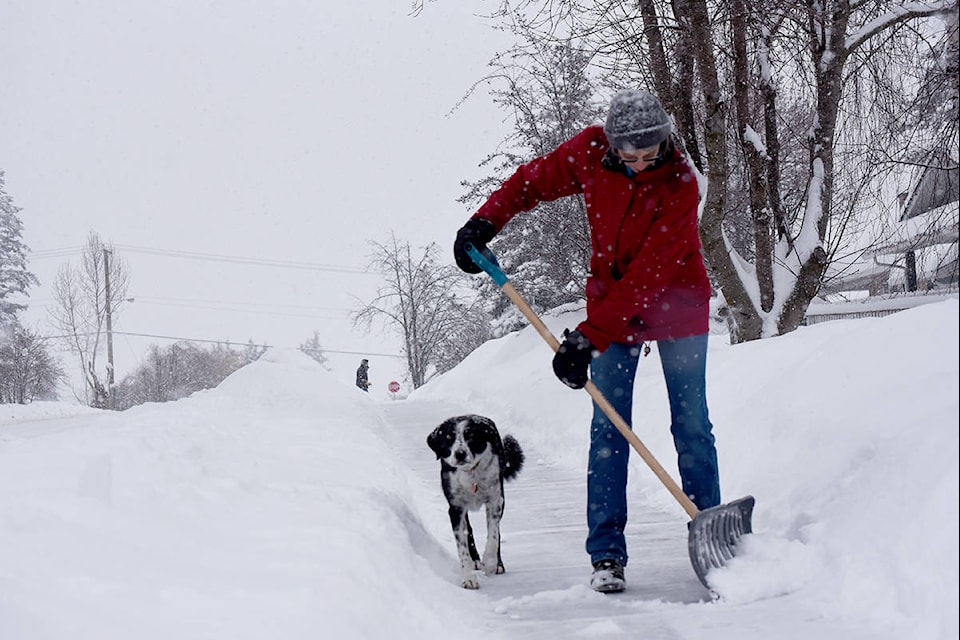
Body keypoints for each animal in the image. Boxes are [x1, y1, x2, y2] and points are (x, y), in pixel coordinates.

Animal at [428, 416, 524, 592]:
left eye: (471, 436)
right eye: (448, 437)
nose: (460, 454)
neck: (470, 473)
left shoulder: (496, 500)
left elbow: (493, 534)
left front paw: (491, 563)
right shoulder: (456, 508)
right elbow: (462, 546)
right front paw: (468, 578)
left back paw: (497, 564)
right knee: (469, 530)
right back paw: (475, 561)